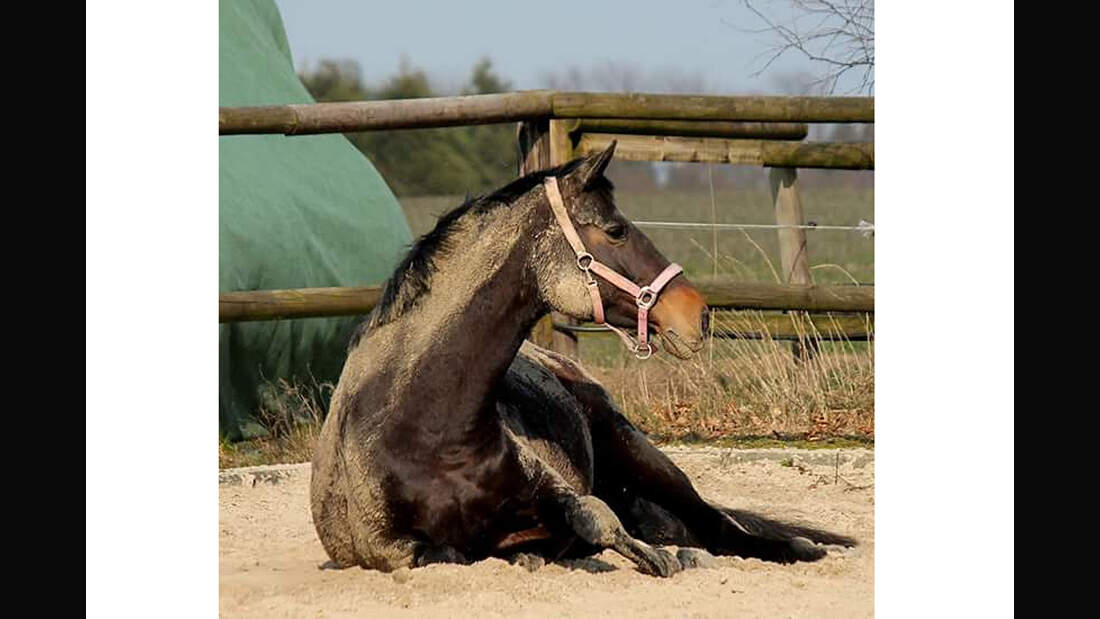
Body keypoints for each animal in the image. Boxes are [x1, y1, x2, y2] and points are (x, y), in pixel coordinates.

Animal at [308, 142, 849, 580]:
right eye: (615, 229)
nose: (698, 314)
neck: (425, 429)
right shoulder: (392, 550)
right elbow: (457, 554)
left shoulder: (558, 491)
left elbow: (592, 517)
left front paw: (657, 558)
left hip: (639, 452)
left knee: (716, 524)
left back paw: (791, 547)